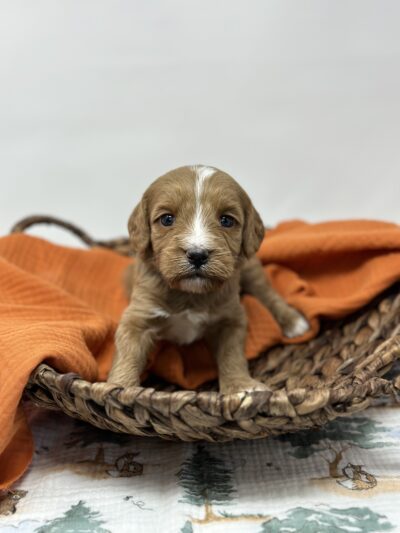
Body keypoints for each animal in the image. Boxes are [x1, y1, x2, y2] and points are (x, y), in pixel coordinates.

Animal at [108, 164, 310, 392]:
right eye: (167, 219)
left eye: (226, 220)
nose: (197, 254)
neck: (190, 294)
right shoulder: (138, 316)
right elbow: (128, 353)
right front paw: (119, 388)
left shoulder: (231, 318)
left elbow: (232, 356)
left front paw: (241, 387)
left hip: (251, 268)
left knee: (266, 293)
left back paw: (293, 321)